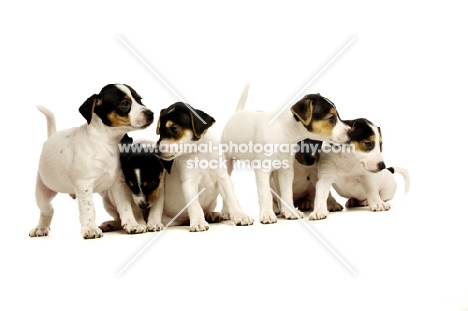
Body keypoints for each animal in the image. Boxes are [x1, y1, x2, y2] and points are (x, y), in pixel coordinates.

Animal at [155, 102, 254, 232]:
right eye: (159, 131)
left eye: (174, 129)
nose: (156, 152)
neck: (199, 151)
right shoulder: (189, 183)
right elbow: (195, 205)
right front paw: (198, 222)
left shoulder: (223, 178)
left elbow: (231, 198)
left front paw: (240, 216)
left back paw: (211, 214)